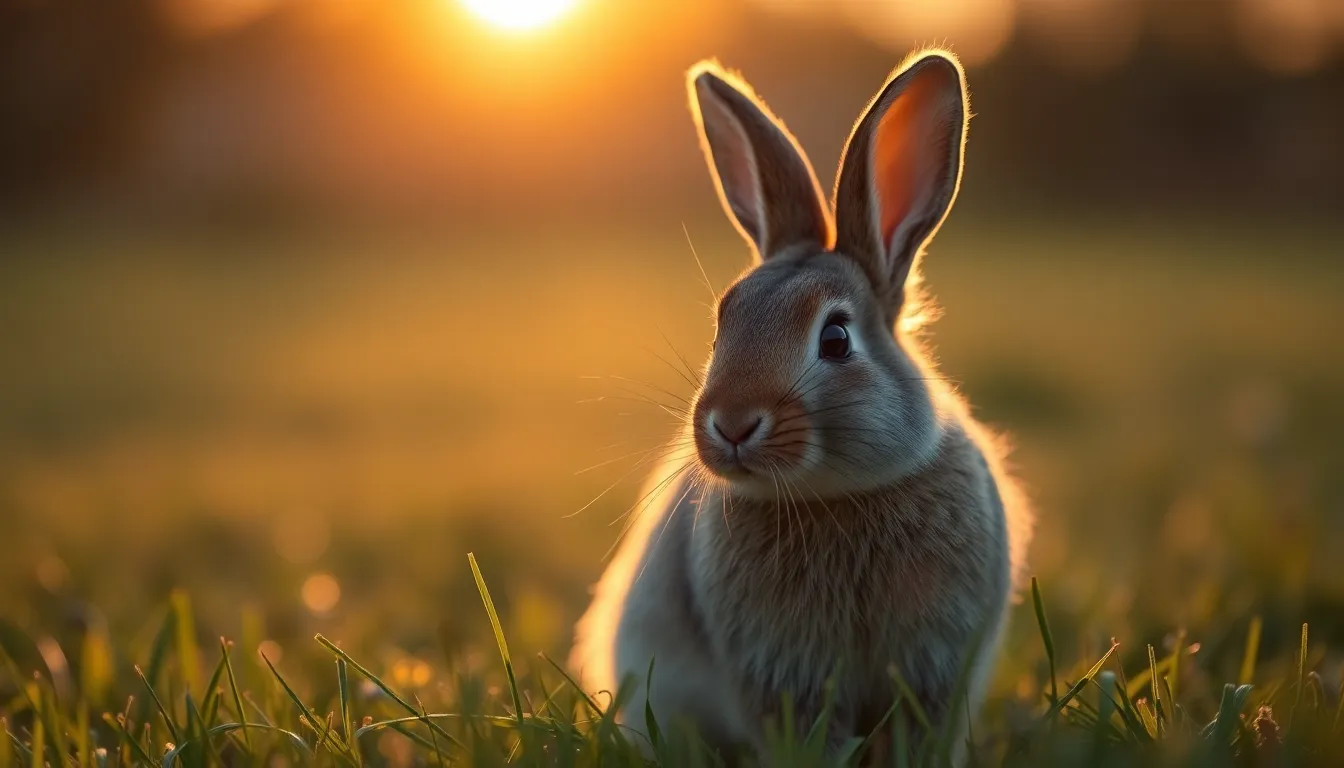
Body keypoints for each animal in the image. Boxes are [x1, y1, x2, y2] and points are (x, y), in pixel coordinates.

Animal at [570, 49, 1033, 766]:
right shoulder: (783, 670)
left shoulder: (934, 665)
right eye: (721, 326)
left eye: (836, 338)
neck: (836, 495)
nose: (731, 424)